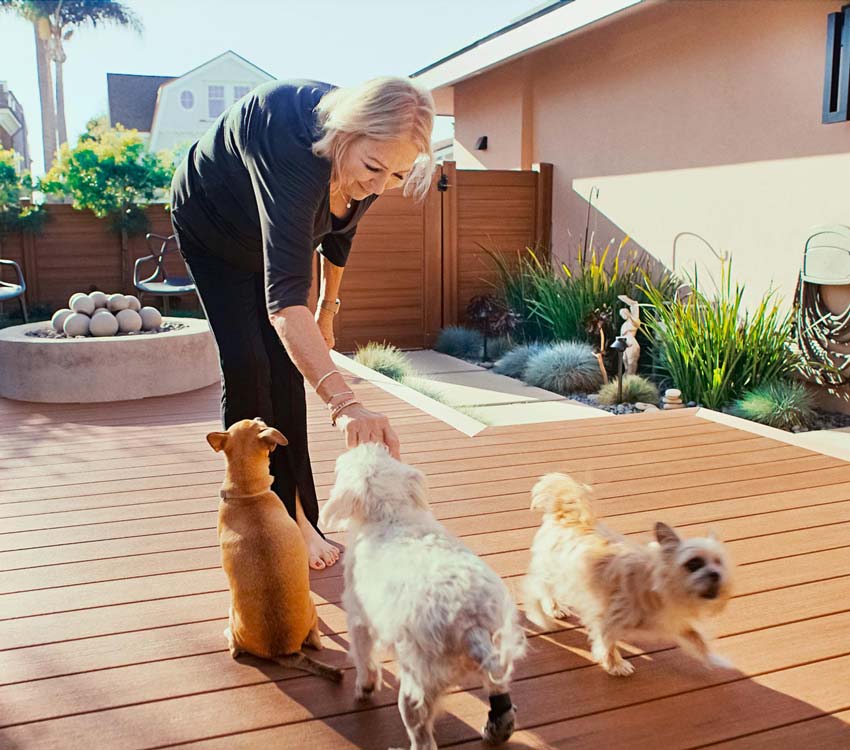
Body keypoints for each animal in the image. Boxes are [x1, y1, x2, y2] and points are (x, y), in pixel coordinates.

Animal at [322, 446, 528, 750]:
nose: (370, 443)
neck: (393, 515)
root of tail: (471, 625)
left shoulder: (358, 618)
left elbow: (362, 656)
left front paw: (365, 687)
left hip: (415, 688)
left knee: (423, 740)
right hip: (496, 654)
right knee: (501, 698)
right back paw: (497, 729)